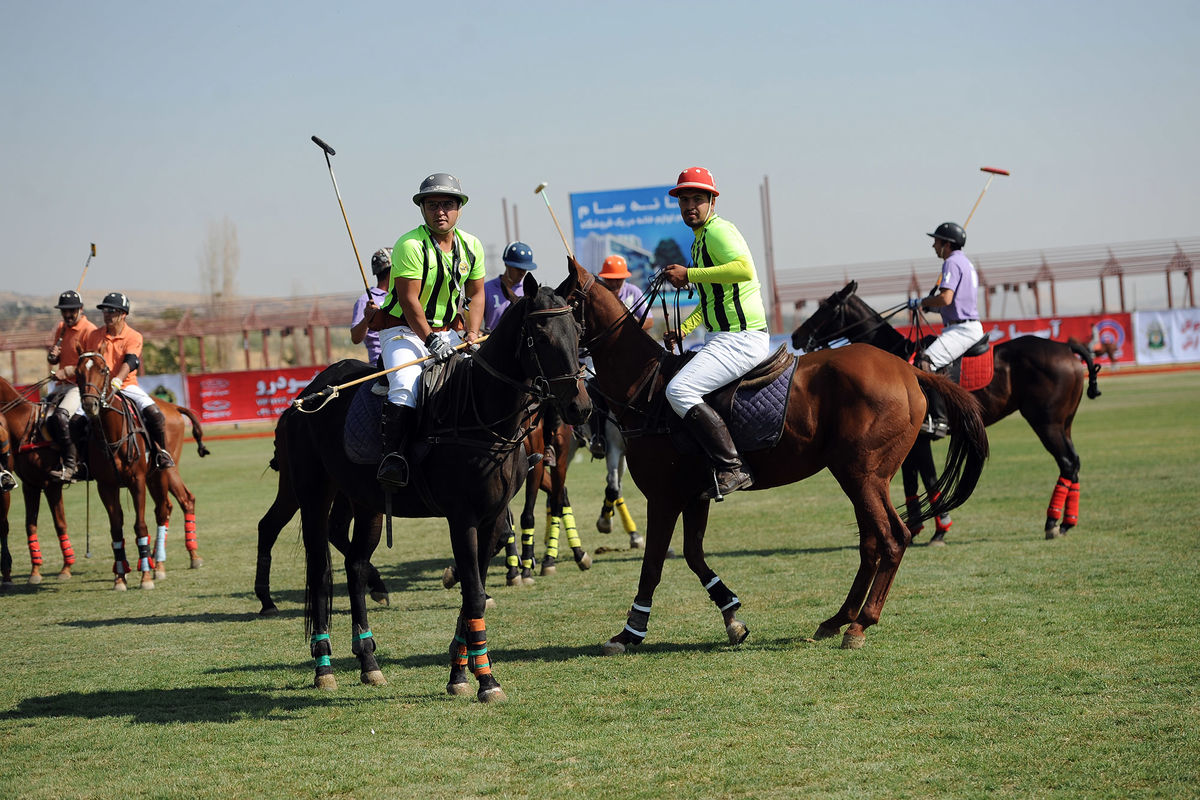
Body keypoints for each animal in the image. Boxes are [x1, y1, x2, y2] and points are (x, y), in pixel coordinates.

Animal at [75, 347, 211, 587]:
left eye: (102, 370)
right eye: (77, 372)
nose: (90, 405)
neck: (113, 434)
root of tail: (173, 406)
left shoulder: (136, 481)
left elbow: (140, 525)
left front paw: (145, 577)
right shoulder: (106, 486)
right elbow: (116, 529)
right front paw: (120, 577)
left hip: (162, 472)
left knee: (167, 508)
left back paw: (164, 564)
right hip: (153, 477)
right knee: (173, 504)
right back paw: (159, 561)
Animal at [272, 278, 590, 705]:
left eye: (577, 332)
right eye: (540, 336)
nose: (580, 407)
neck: (483, 413)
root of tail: (309, 392)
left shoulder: (491, 518)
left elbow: (474, 593)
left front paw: (460, 673)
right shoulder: (462, 517)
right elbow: (473, 592)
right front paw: (486, 681)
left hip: (367, 502)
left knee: (355, 566)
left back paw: (369, 662)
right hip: (313, 494)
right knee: (321, 571)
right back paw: (324, 668)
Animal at [556, 260, 988, 652]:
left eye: (560, 306)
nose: (572, 402)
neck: (645, 390)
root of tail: (909, 371)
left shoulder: (663, 497)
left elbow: (653, 565)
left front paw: (630, 633)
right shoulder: (694, 496)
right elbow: (693, 556)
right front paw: (731, 618)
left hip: (862, 475)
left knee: (893, 538)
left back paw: (860, 623)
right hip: (863, 477)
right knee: (872, 543)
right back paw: (838, 618)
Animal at [792, 281, 1099, 537]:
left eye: (826, 307)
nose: (796, 336)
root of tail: (1066, 348)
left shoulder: (920, 441)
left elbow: (928, 480)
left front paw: (939, 530)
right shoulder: (909, 443)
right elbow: (911, 481)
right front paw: (917, 528)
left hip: (1046, 423)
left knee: (1067, 462)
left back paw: (1052, 522)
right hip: (1063, 423)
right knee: (1074, 463)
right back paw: (1067, 522)